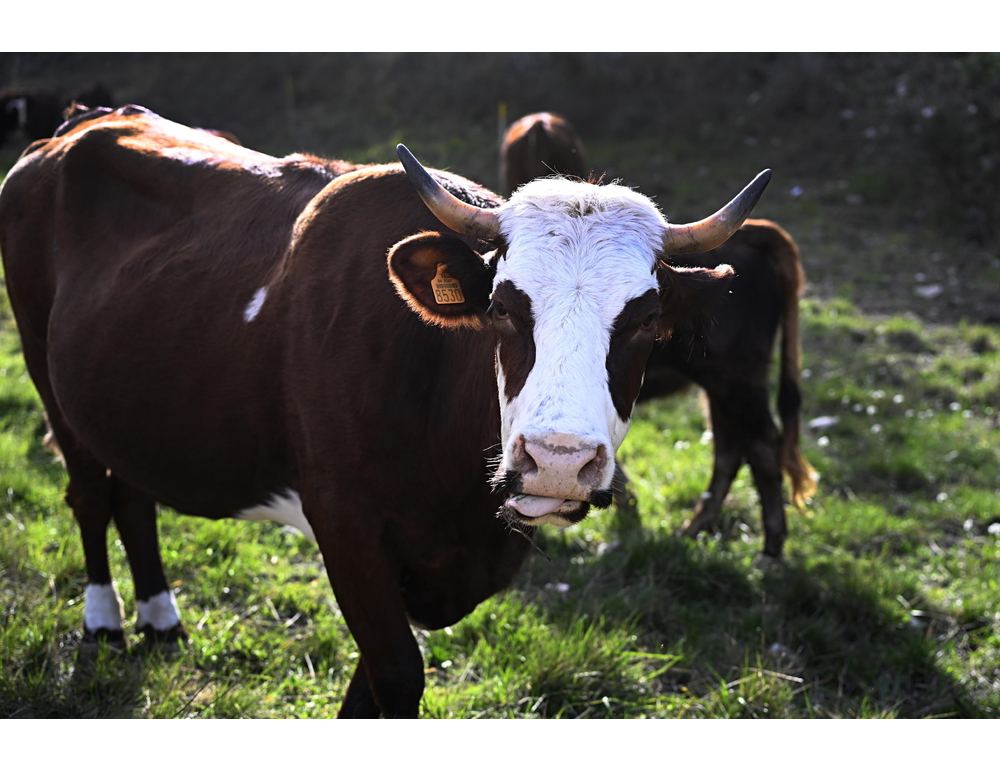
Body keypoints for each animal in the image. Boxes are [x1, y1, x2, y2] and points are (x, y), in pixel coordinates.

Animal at [0, 105, 769, 717]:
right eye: (501, 307)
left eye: (646, 322)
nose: (558, 462)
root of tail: (86, 120)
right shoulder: (345, 524)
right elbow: (396, 675)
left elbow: (373, 681)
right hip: (47, 377)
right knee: (88, 493)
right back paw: (105, 620)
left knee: (131, 492)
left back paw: (160, 617)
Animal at [630, 220, 817, 558]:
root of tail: (754, 230)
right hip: (721, 387)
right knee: (729, 448)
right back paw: (692, 530)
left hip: (735, 380)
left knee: (761, 445)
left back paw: (770, 549)